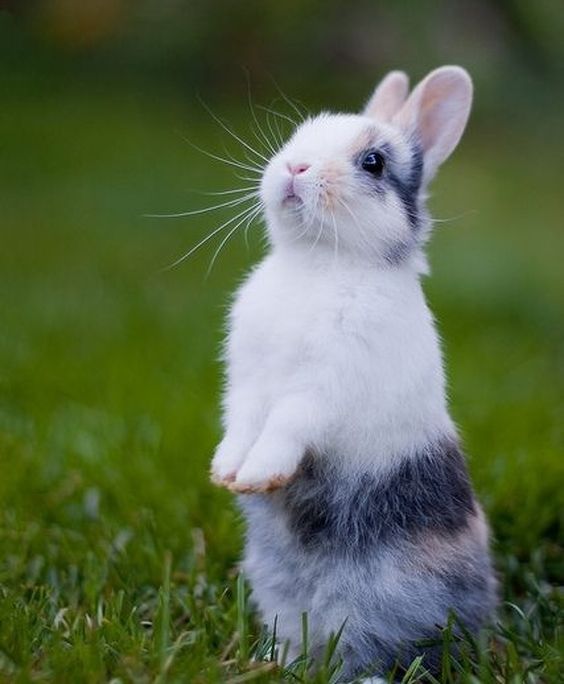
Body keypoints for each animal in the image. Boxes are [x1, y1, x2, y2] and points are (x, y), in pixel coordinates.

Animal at [210, 66, 497, 681]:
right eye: (299, 135)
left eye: (373, 162)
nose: (296, 168)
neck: (319, 260)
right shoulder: (247, 381)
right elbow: (242, 423)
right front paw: (227, 472)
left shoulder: (322, 389)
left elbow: (285, 426)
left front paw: (258, 475)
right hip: (279, 592)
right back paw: (273, 659)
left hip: (382, 599)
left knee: (385, 649)